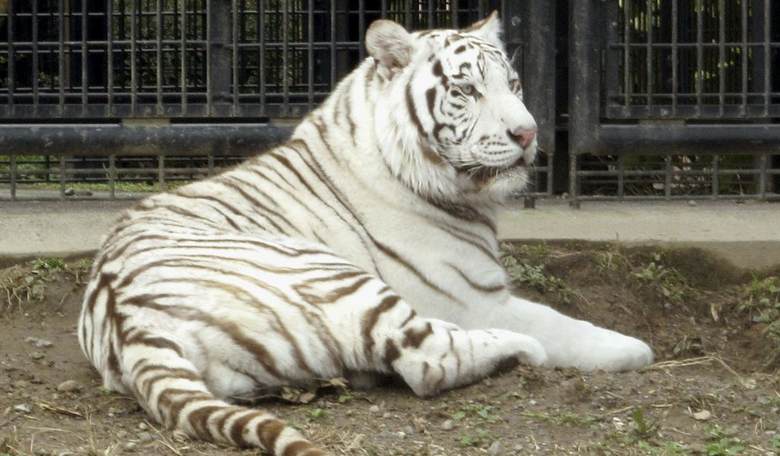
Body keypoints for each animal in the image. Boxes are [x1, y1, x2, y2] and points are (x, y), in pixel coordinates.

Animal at [78, 12, 653, 455]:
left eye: (511, 85)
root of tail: (130, 323)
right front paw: (633, 348)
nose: (528, 133)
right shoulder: (473, 299)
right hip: (339, 278)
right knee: (429, 360)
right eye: (466, 89)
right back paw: (519, 349)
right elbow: (561, 324)